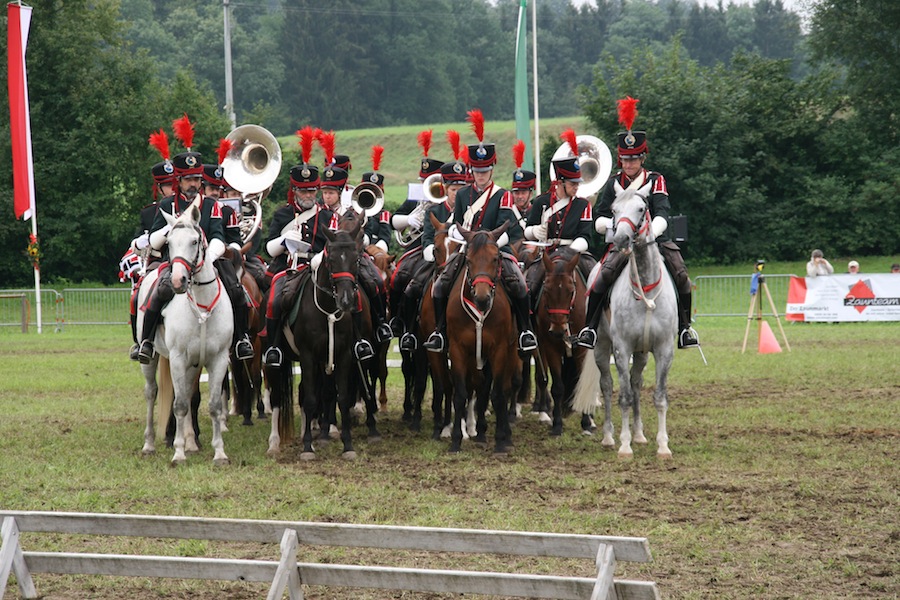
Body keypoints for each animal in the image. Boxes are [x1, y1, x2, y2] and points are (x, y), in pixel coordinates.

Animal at [135, 200, 232, 464]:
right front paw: (178, 454)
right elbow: (178, 405)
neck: (202, 307)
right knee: (151, 393)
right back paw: (149, 444)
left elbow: (213, 405)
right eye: (168, 243)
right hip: (153, 360)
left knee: (188, 394)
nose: (178, 280)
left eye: (195, 241)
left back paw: (190, 441)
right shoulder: (178, 358)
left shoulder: (218, 359)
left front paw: (219, 453)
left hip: (192, 364)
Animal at [266, 219, 374, 460]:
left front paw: (347, 445)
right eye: (331, 260)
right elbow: (310, 399)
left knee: (305, 391)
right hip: (276, 360)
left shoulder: (341, 355)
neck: (328, 310)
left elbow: (339, 397)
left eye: (355, 259)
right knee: (277, 396)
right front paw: (307, 448)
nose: (346, 300)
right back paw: (274, 443)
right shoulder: (308, 355)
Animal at [444, 223, 520, 452]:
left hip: (510, 351)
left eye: (495, 258)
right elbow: (461, 394)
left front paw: (501, 442)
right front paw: (456, 440)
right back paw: (480, 432)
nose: (482, 298)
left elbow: (498, 394)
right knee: (481, 387)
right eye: (468, 260)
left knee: (502, 388)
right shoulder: (458, 350)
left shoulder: (499, 350)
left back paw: (504, 434)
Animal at [572, 189, 680, 460]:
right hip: (602, 348)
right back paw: (609, 437)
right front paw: (624, 445)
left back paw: (640, 434)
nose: (621, 239)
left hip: (642, 353)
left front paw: (663, 446)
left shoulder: (664, 350)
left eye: (641, 208)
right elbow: (624, 397)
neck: (646, 287)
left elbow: (659, 397)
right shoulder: (622, 349)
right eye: (613, 210)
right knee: (608, 385)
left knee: (636, 382)